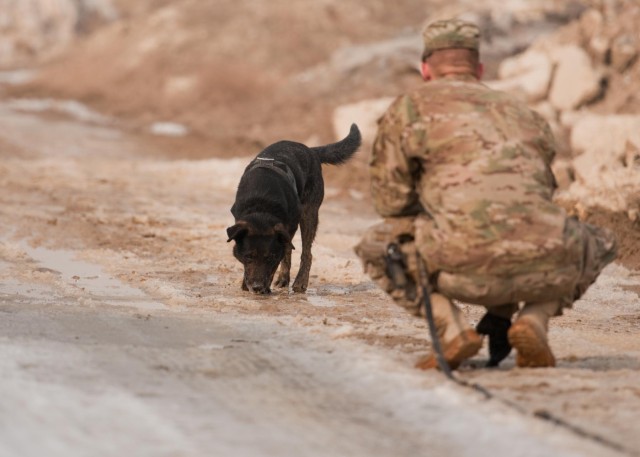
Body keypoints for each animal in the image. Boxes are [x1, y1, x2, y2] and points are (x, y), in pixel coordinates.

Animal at [229, 123, 360, 294]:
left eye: (270, 258)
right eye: (249, 256)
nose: (257, 287)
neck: (262, 204)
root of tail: (311, 150)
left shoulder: (288, 227)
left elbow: (283, 255)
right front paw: (246, 284)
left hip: (309, 214)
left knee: (306, 253)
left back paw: (299, 281)